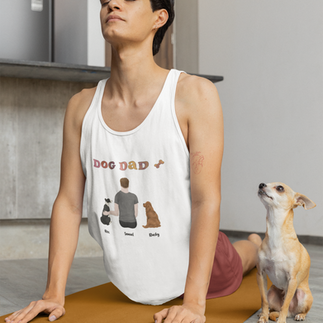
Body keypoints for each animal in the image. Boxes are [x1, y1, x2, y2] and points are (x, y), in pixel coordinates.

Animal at [258, 184, 316, 322]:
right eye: (264, 183)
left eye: (280, 188)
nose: (261, 184)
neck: (275, 230)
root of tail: (291, 313)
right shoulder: (261, 274)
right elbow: (264, 300)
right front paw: (263, 316)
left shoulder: (292, 280)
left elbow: (285, 304)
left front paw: (281, 320)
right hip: (271, 292)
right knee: (273, 307)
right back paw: (264, 313)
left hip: (303, 295)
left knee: (297, 309)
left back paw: (299, 315)